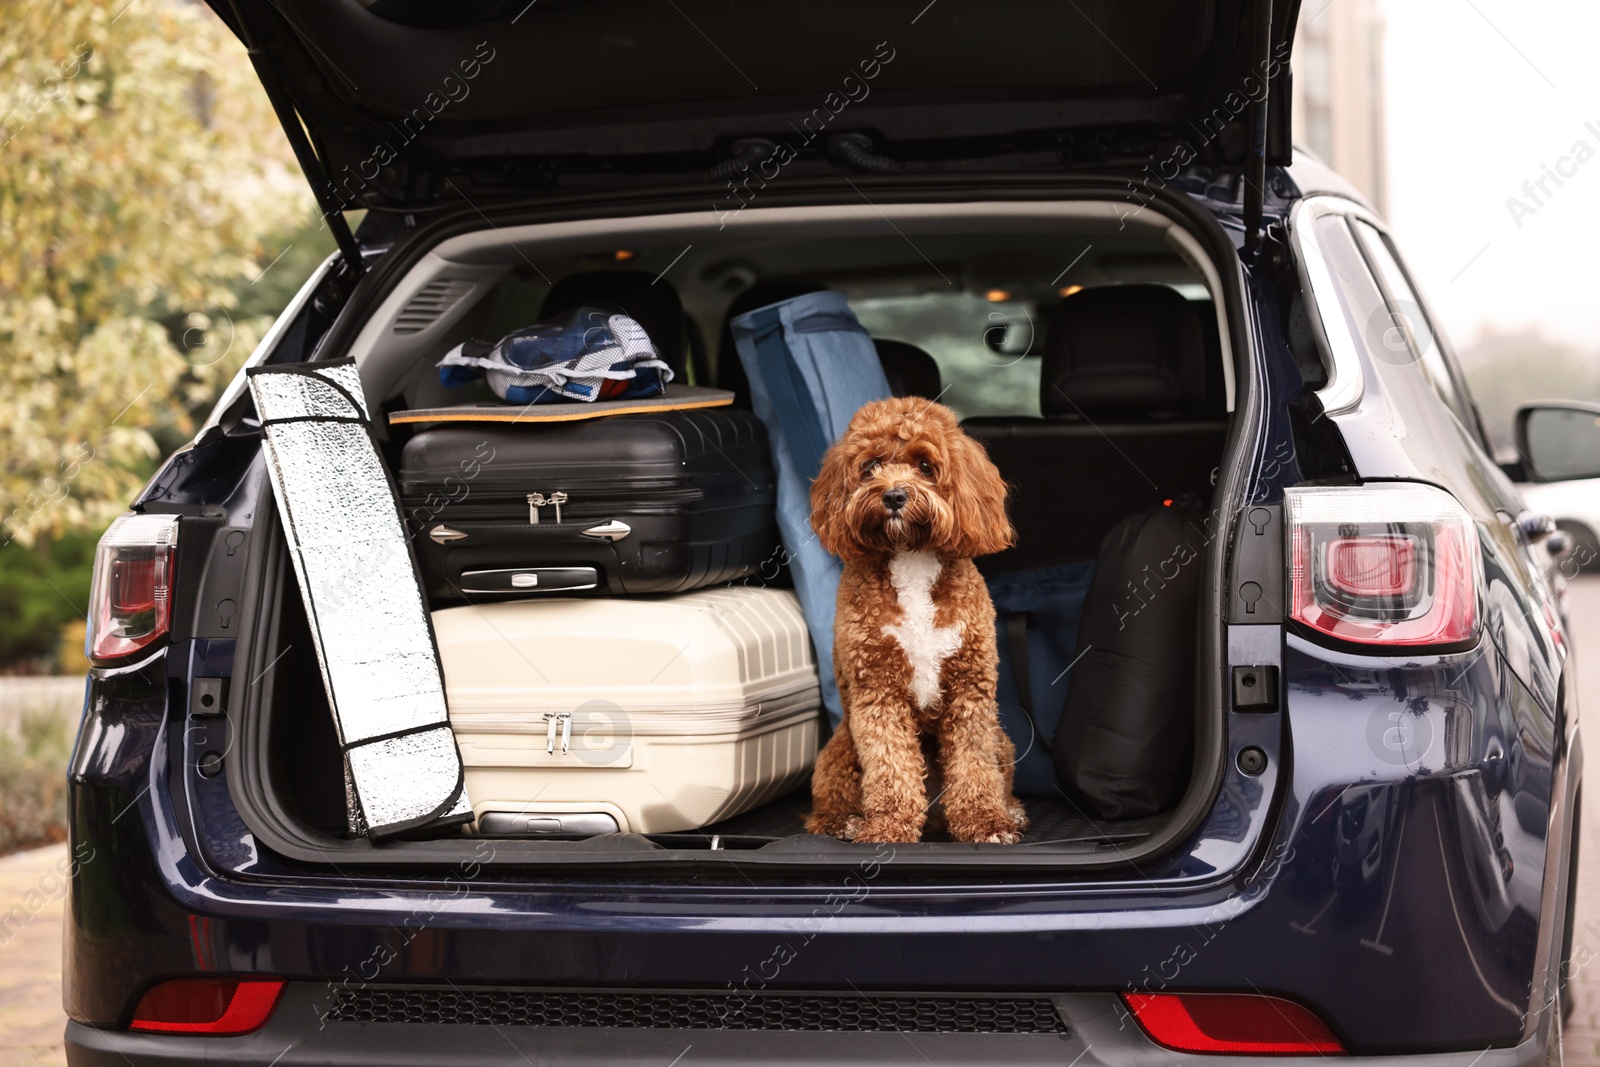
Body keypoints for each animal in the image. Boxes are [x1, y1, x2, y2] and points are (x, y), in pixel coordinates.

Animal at [800, 396, 1024, 844]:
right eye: (870, 465)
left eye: (925, 465)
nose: (894, 495)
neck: (911, 555)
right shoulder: (877, 689)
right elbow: (891, 765)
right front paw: (888, 825)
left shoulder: (969, 689)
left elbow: (974, 765)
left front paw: (986, 822)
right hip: (838, 752)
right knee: (825, 810)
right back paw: (848, 822)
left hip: (1001, 740)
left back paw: (1010, 810)